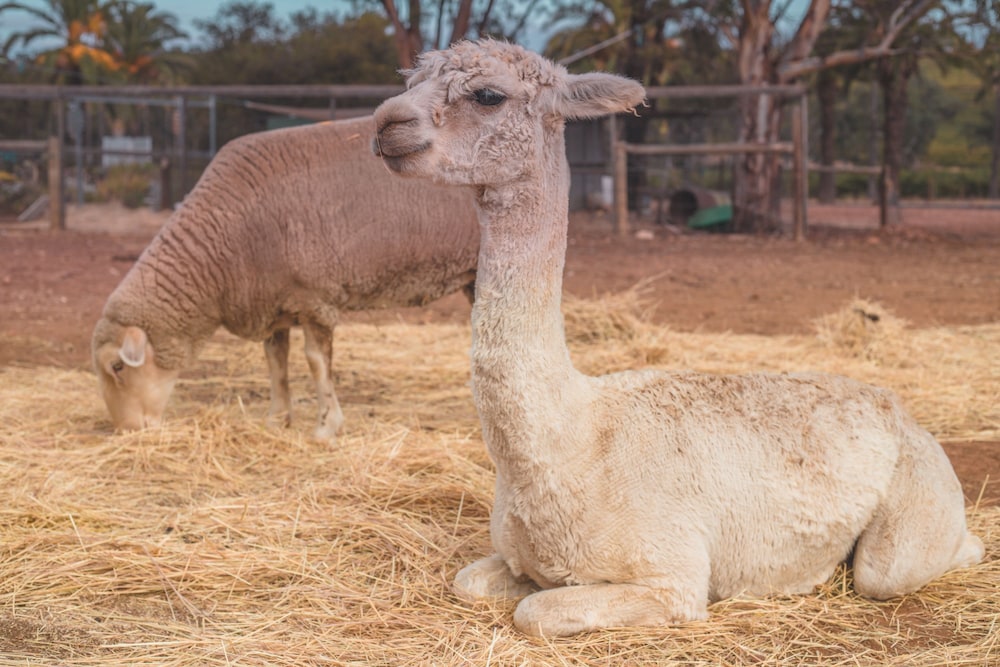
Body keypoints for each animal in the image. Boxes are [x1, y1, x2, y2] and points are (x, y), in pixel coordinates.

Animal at [94, 116, 480, 444]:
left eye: (117, 366)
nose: (126, 431)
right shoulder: (273, 303)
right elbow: (276, 363)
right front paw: (276, 420)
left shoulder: (316, 299)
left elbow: (316, 362)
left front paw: (326, 428)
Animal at [374, 39, 984, 640]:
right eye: (410, 82)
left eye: (488, 95)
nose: (386, 123)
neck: (573, 442)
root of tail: (898, 406)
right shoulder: (519, 556)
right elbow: (470, 583)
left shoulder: (671, 576)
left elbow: (536, 613)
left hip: (914, 510)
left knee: (910, 563)